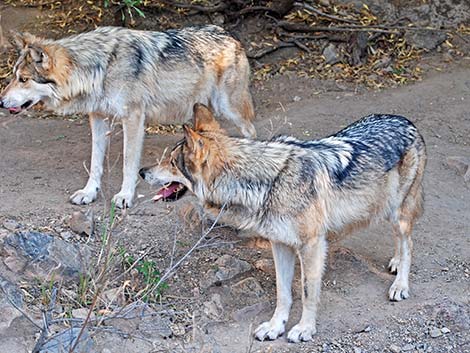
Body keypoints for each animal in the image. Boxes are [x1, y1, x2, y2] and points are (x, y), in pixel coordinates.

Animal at [0, 26, 258, 208]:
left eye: (23, 79)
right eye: (13, 76)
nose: (1, 102)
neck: (99, 69)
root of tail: (228, 34)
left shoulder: (133, 118)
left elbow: (128, 162)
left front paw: (125, 196)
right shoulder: (97, 118)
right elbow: (95, 162)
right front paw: (89, 193)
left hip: (230, 108)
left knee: (251, 131)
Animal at [139, 103, 426, 342]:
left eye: (171, 162)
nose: (142, 171)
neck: (266, 183)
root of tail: (405, 120)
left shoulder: (311, 246)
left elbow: (308, 292)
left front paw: (305, 329)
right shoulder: (280, 244)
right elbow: (283, 292)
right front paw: (275, 327)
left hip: (397, 212)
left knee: (409, 242)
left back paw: (400, 285)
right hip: (386, 210)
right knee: (401, 242)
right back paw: (395, 264)